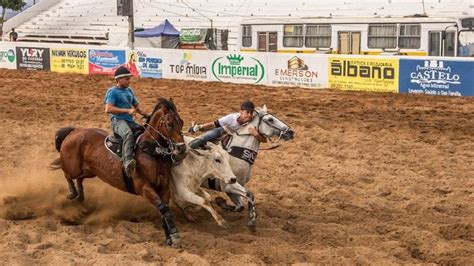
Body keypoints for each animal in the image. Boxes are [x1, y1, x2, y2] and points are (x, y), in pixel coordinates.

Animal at [50, 97, 186, 245]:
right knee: (67, 174)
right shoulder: (144, 188)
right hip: (73, 167)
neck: (151, 152)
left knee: (80, 179)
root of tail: (74, 131)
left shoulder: (164, 188)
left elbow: (164, 211)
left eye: (181, 122)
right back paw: (73, 193)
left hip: (90, 171)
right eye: (169, 124)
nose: (182, 149)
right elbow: (164, 209)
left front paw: (169, 237)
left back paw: (80, 197)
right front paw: (175, 235)